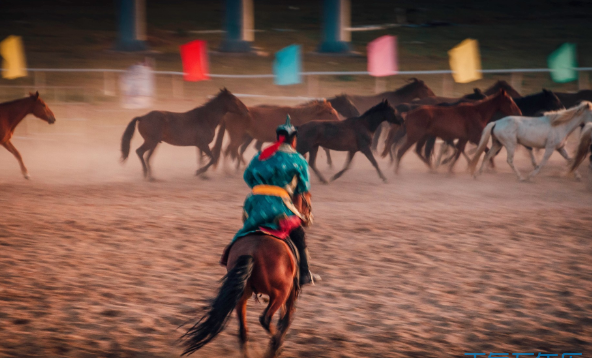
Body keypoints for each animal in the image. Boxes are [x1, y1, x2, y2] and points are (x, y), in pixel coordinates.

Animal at [120, 88, 250, 180]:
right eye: (234, 99)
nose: (246, 110)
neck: (205, 118)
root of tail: (142, 117)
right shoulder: (203, 144)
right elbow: (212, 158)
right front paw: (199, 172)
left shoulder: (199, 145)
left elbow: (201, 159)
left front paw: (202, 175)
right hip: (151, 142)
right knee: (140, 152)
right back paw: (147, 175)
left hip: (154, 143)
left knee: (147, 156)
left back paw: (151, 176)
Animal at [180, 193, 312, 358]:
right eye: (307, 199)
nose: (308, 218)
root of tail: (252, 250)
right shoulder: (292, 292)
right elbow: (286, 319)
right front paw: (276, 346)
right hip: (280, 292)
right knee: (265, 319)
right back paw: (276, 345)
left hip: (241, 295)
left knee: (243, 331)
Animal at [388, 89, 524, 173]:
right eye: (509, 101)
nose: (519, 113)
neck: (478, 112)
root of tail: (408, 113)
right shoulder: (475, 137)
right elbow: (486, 150)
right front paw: (490, 167)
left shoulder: (464, 138)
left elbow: (459, 152)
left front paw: (451, 169)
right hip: (415, 137)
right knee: (401, 151)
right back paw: (397, 171)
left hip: (423, 137)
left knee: (418, 151)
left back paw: (432, 169)